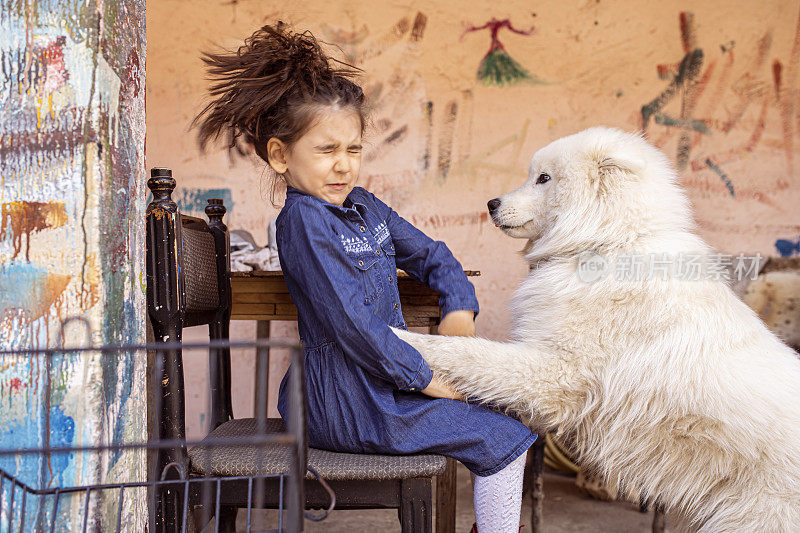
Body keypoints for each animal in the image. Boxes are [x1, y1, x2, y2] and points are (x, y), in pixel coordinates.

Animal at [394, 127, 800, 528]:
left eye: (543, 178)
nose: (491, 203)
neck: (606, 242)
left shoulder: (556, 372)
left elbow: (468, 351)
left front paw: (400, 337)